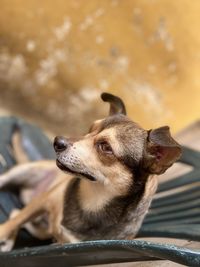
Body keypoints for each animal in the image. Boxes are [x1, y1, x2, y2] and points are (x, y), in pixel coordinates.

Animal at [0, 93, 182, 252]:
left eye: (106, 147)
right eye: (90, 129)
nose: (57, 142)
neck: (94, 198)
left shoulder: (65, 241)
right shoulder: (44, 200)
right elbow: (12, 223)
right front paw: (4, 232)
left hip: (41, 228)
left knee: (17, 213)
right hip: (21, 174)